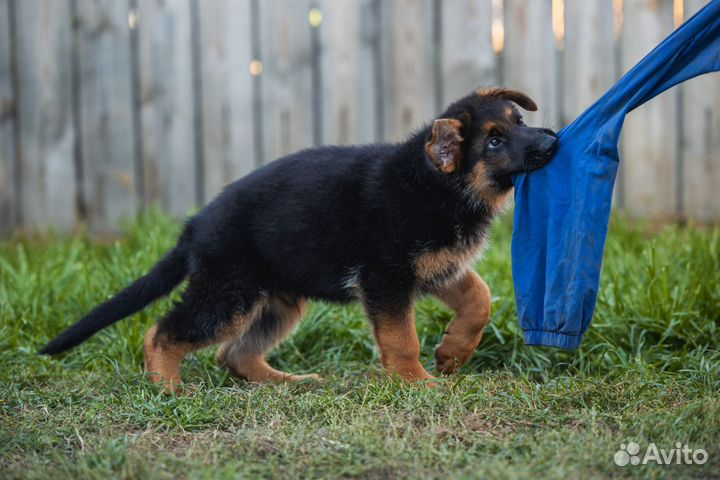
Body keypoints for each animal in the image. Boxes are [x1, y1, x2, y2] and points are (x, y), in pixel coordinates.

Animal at [38, 88, 556, 392]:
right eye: (493, 141)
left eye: (519, 121)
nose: (552, 141)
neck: (436, 184)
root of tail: (196, 225)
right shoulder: (387, 279)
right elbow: (401, 337)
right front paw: (416, 382)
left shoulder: (438, 267)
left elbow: (480, 299)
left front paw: (453, 352)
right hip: (230, 294)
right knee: (162, 333)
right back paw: (168, 387)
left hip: (277, 302)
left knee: (234, 354)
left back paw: (288, 381)